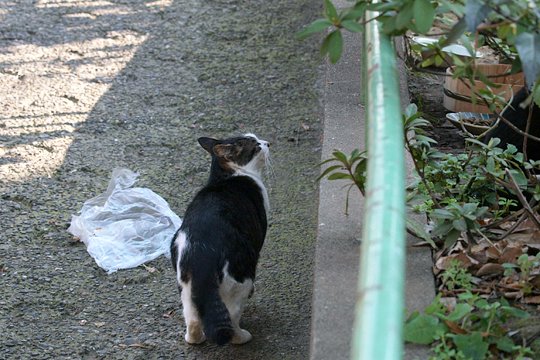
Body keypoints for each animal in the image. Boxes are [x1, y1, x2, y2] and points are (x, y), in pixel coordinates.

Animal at [171, 133, 270, 346]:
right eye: (256, 145)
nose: (268, 143)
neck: (228, 175)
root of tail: (201, 251)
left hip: (186, 286)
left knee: (192, 317)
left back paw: (194, 338)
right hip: (241, 275)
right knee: (231, 315)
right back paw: (241, 337)